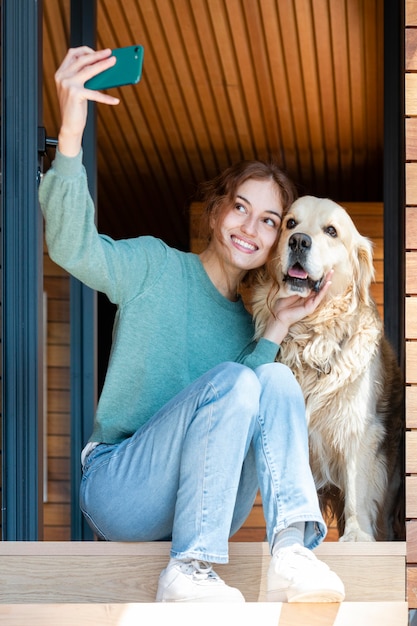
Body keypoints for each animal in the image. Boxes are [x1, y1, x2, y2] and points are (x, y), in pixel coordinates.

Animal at [250, 196, 404, 540]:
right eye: (290, 223)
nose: (298, 241)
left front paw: (357, 536)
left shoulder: (360, 427)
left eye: (331, 231)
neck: (312, 334)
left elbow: (358, 487)